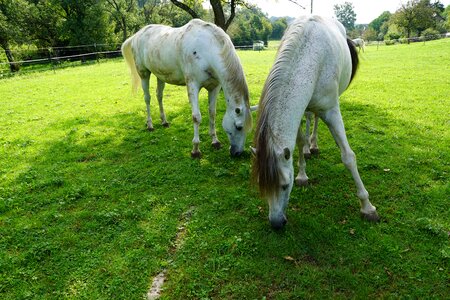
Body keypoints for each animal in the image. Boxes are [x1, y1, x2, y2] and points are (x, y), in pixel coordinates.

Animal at [121, 18, 251, 158]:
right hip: (144, 73)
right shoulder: (192, 85)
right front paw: (195, 149)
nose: (237, 152)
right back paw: (150, 125)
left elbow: (212, 113)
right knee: (147, 98)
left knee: (159, 95)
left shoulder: (214, 88)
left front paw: (215, 141)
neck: (207, 49)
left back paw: (164, 121)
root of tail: (137, 35)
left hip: (160, 75)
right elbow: (196, 117)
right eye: (238, 127)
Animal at [251, 15, 378, 229]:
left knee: (317, 119)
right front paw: (302, 174)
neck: (310, 56)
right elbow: (299, 141)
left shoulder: (332, 111)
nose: (276, 224)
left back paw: (314, 145)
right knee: (311, 118)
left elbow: (348, 157)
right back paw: (309, 149)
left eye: (285, 186)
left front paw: (367, 207)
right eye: (261, 185)